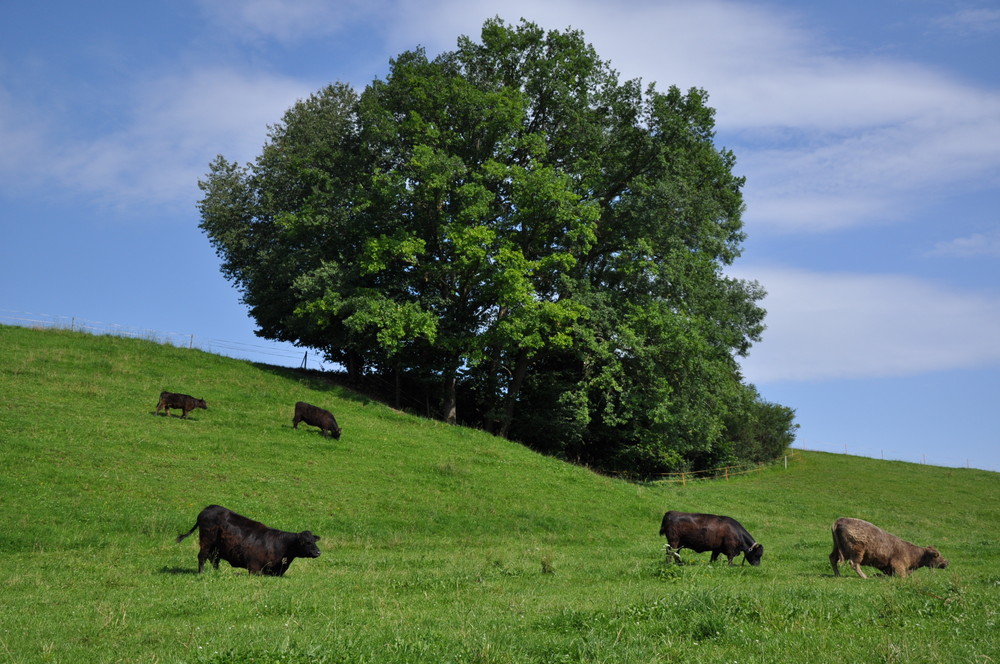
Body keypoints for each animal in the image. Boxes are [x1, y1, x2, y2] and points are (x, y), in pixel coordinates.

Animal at [174, 504, 322, 576]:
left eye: (314, 541)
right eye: (306, 542)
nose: (318, 552)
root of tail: (209, 508)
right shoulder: (254, 568)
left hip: (215, 548)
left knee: (214, 560)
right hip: (206, 541)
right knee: (202, 557)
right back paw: (202, 573)